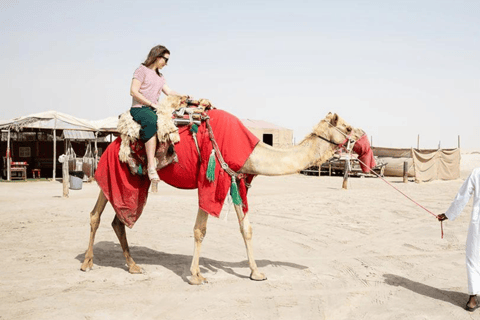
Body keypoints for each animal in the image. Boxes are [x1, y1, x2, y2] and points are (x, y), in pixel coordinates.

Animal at [79, 110, 364, 284]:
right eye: (347, 126)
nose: (361, 135)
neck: (250, 150)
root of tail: (114, 142)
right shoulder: (211, 179)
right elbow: (200, 230)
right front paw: (196, 276)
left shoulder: (235, 180)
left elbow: (246, 228)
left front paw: (256, 273)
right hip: (116, 173)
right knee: (95, 215)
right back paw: (87, 264)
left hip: (136, 183)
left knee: (118, 219)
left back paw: (134, 266)